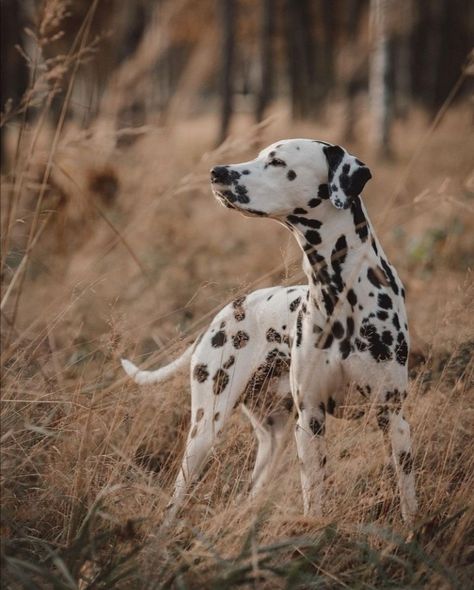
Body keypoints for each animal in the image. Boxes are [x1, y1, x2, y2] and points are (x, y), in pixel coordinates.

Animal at [211, 140, 418, 528]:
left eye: (277, 161)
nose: (216, 171)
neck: (340, 294)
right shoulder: (310, 419)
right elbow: (315, 492)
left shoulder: (393, 416)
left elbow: (406, 493)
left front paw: (413, 528)